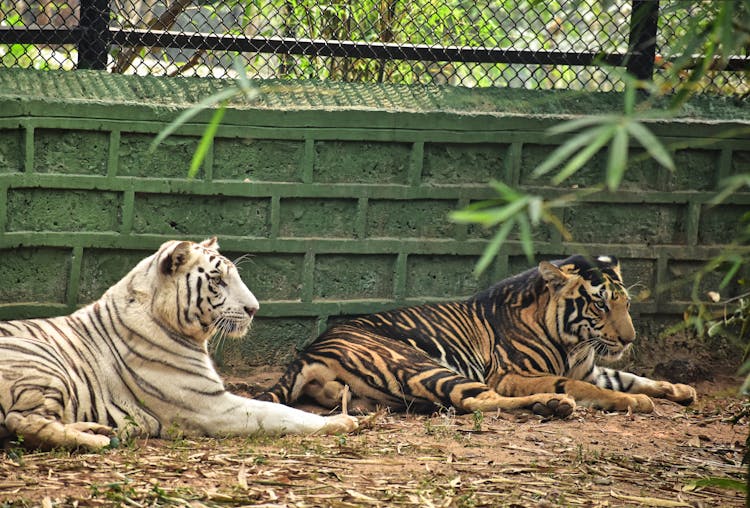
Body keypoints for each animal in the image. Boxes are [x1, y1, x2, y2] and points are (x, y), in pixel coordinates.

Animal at [0, 238, 358, 448]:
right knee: (21, 420)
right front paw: (342, 421)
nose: (254, 309)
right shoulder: (212, 407)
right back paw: (100, 441)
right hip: (41, 360)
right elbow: (282, 412)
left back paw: (97, 431)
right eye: (218, 280)